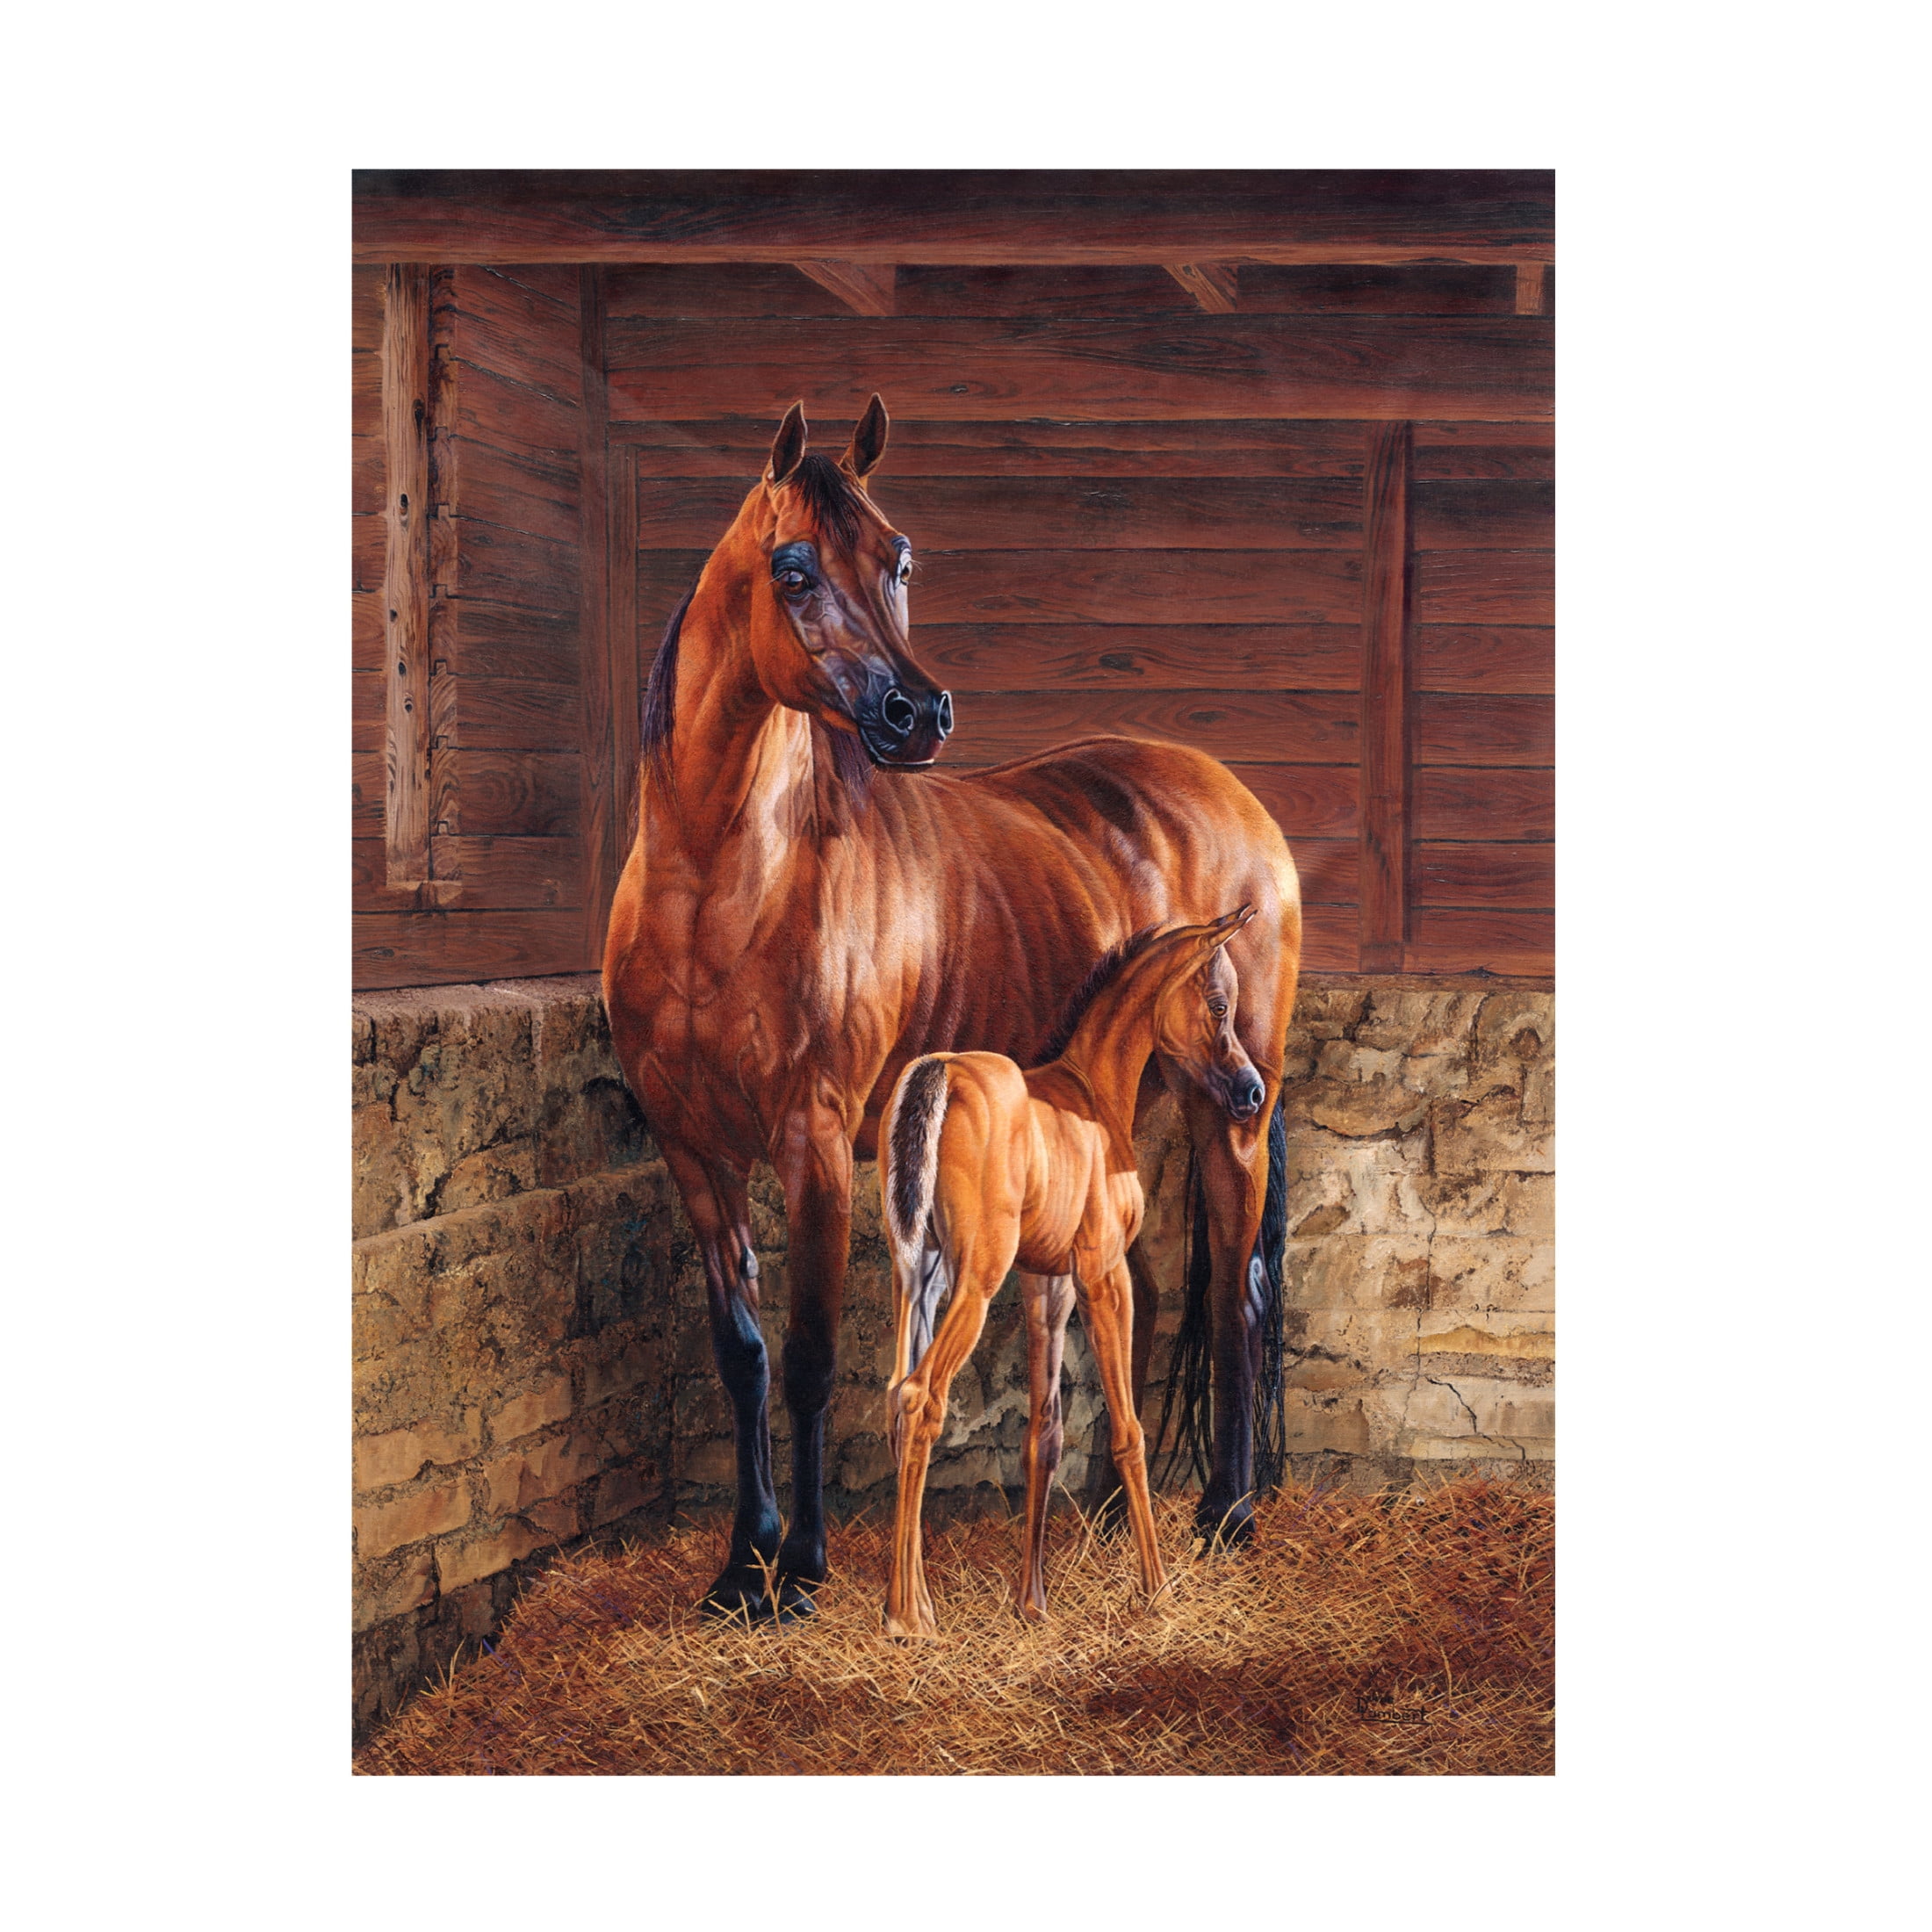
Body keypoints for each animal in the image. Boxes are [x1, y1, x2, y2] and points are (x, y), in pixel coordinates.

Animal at [880, 908, 1261, 1636]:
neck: (1093, 1088)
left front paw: (1033, 1602)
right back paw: (906, 1617)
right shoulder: (1103, 1274)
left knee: (896, 1393)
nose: (1252, 1091)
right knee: (921, 1397)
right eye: (1219, 1004)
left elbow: (1045, 1432)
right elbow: (1128, 1430)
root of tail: (940, 1072)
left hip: (918, 1278)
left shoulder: (1046, 1284)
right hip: (975, 1281)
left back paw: (910, 1602)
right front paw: (1156, 1589)